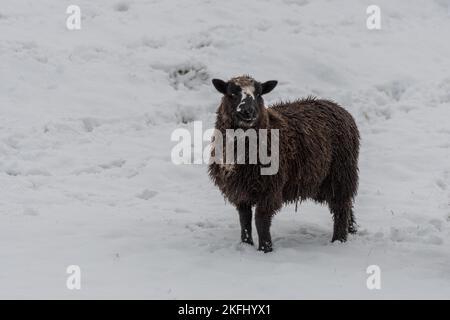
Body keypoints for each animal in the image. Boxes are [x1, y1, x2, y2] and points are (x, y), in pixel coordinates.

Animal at [209, 75, 360, 252]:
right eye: (232, 93)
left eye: (259, 94)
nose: (248, 111)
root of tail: (339, 108)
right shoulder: (240, 191)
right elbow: (244, 220)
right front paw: (246, 244)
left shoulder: (269, 188)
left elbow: (261, 220)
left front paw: (265, 249)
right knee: (347, 204)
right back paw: (352, 229)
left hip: (340, 173)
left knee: (341, 207)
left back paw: (339, 240)